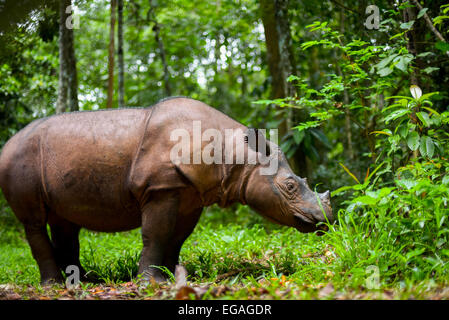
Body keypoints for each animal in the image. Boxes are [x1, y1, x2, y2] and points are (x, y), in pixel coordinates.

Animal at [0, 97, 332, 282]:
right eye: (290, 186)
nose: (325, 221)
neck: (236, 154)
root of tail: (6, 145)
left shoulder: (191, 193)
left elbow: (176, 237)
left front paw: (174, 276)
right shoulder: (161, 188)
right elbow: (157, 233)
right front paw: (152, 283)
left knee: (64, 220)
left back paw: (82, 281)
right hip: (17, 159)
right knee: (33, 222)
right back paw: (54, 285)